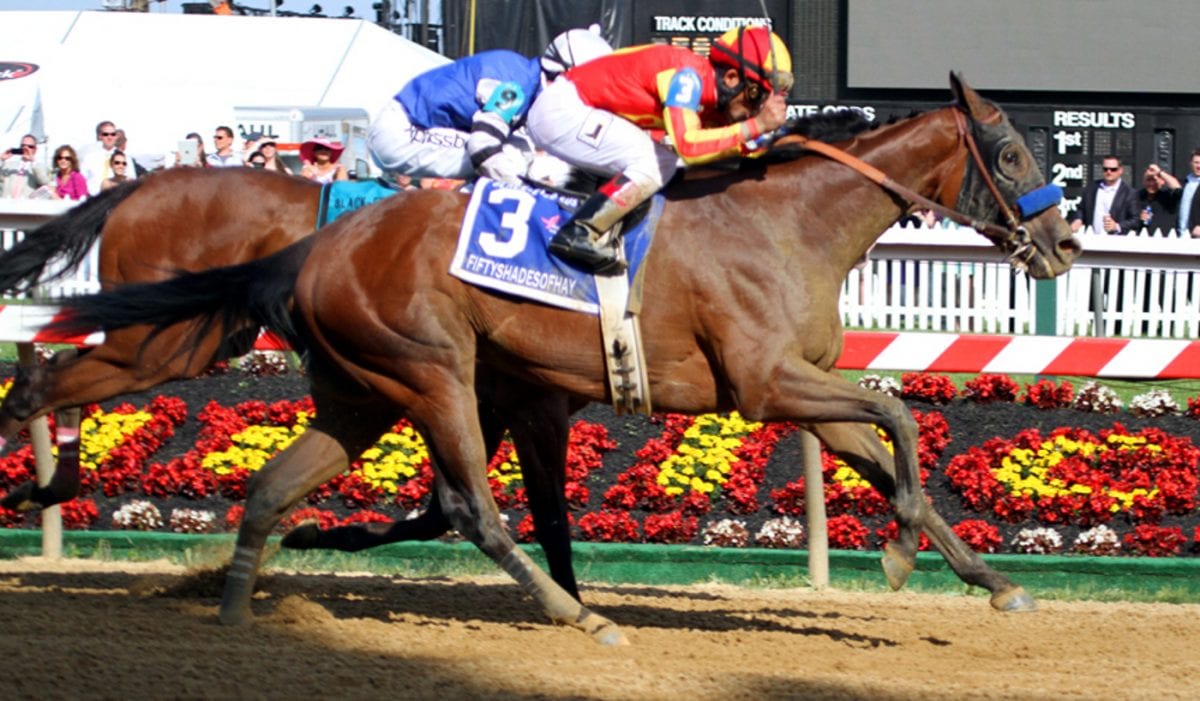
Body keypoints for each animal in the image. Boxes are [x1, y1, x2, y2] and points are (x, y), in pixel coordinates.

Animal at [54, 75, 1080, 638]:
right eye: (1012, 154)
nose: (1065, 242)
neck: (789, 220)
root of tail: (317, 249)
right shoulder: (764, 385)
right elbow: (899, 413)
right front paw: (904, 550)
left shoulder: (797, 389)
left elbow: (885, 449)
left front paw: (989, 580)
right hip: (430, 371)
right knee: (470, 505)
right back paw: (575, 614)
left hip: (364, 389)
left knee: (275, 486)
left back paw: (239, 606)